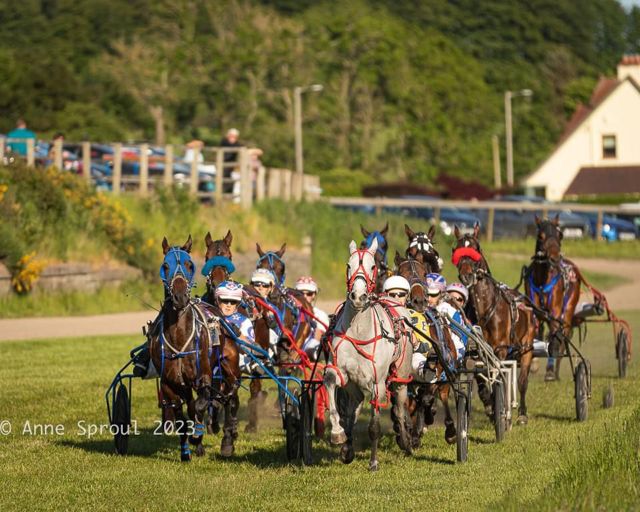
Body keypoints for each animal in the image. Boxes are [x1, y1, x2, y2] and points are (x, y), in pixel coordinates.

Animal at [148, 238, 212, 462]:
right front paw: (186, 451)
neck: (178, 335)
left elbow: (200, 406)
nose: (180, 297)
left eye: (190, 265)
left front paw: (197, 437)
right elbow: (181, 417)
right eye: (165, 266)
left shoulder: (204, 375)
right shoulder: (169, 384)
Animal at [452, 224, 536, 424]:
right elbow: (483, 381)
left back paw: (522, 413)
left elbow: (498, 376)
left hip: (527, 347)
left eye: (476, 249)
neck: (485, 309)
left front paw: (500, 407)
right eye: (456, 250)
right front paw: (490, 407)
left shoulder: (501, 349)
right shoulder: (476, 352)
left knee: (522, 381)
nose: (466, 276)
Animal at [524, 215, 584, 380]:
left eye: (560, 235)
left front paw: (550, 371)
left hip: (569, 308)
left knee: (564, 334)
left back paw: (555, 370)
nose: (555, 258)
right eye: (540, 236)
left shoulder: (555, 311)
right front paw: (534, 363)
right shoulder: (535, 309)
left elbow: (554, 334)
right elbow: (536, 331)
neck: (542, 280)